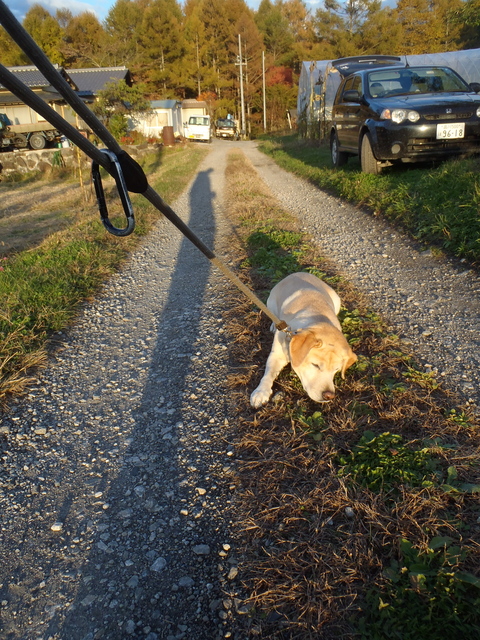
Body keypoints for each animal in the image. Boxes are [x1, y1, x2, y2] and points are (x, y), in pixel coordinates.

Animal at [251, 272, 356, 408]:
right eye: (315, 365)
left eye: (336, 369)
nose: (329, 396)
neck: (317, 318)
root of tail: (299, 273)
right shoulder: (276, 355)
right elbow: (268, 374)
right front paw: (261, 392)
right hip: (270, 303)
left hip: (337, 300)